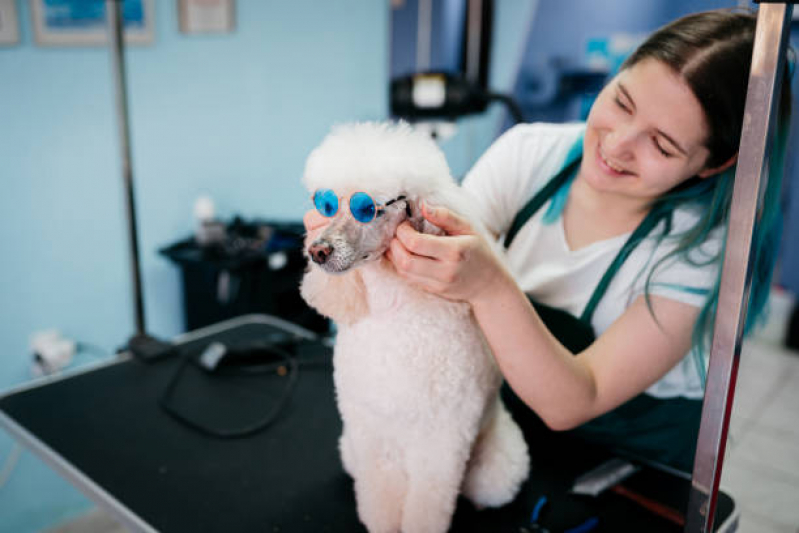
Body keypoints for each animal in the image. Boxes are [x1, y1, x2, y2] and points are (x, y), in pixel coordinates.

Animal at [300, 121, 532, 532]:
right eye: (325, 205)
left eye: (367, 209)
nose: (318, 251)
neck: (392, 310)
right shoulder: (369, 423)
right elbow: (379, 488)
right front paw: (380, 520)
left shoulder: (444, 434)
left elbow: (428, 501)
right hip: (351, 448)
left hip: (497, 468)